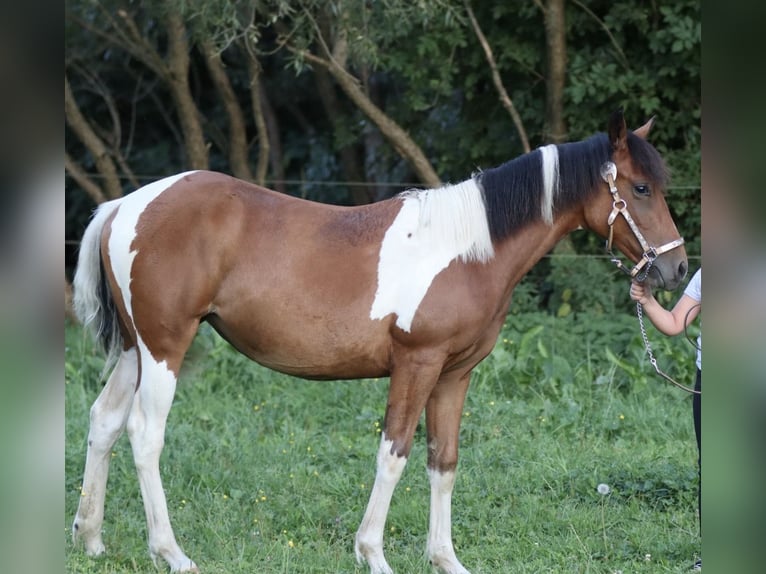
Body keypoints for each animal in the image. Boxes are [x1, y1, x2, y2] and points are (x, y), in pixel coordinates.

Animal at [71, 110, 687, 574]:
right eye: (639, 187)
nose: (676, 268)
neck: (469, 249)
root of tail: (125, 207)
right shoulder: (416, 364)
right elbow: (394, 455)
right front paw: (373, 554)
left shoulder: (454, 375)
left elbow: (444, 461)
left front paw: (446, 560)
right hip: (164, 349)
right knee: (145, 434)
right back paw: (172, 553)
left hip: (136, 350)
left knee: (104, 422)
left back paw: (92, 540)